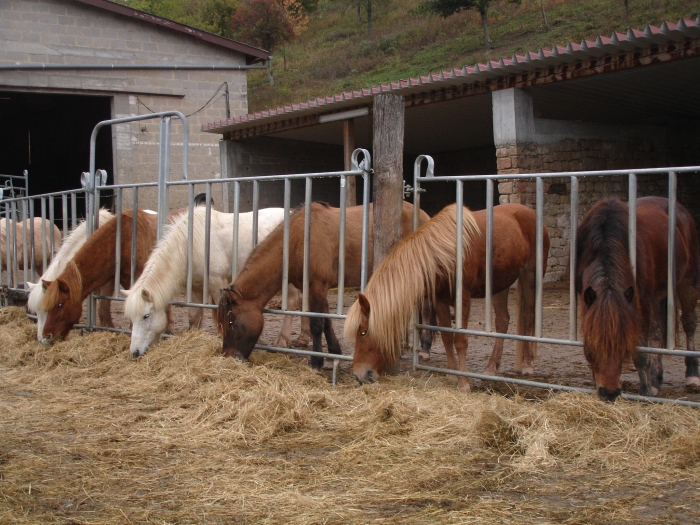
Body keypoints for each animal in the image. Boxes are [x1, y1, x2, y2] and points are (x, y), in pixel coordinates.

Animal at [125, 205, 308, 356]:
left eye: (146, 316)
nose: (135, 352)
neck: (190, 245)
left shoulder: (217, 282)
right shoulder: (196, 287)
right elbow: (194, 315)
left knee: (293, 302)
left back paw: (282, 340)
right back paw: (304, 338)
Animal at [216, 201, 430, 368]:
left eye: (231, 320)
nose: (227, 355)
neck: (298, 241)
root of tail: (423, 214)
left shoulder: (317, 286)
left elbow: (317, 324)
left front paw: (316, 361)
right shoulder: (314, 290)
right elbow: (326, 321)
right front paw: (333, 351)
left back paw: (424, 349)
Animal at [348, 203, 548, 390]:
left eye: (363, 332)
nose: (359, 375)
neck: (444, 253)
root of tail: (531, 214)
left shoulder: (463, 299)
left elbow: (460, 340)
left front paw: (464, 382)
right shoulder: (440, 300)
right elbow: (446, 336)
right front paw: (452, 374)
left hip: (530, 276)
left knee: (529, 317)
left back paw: (527, 364)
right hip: (499, 284)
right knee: (503, 321)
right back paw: (491, 367)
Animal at [576, 194, 700, 400]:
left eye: (624, 346)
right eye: (592, 346)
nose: (610, 393)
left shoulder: (639, 303)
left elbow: (641, 352)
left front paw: (645, 391)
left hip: (687, 280)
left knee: (689, 323)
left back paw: (692, 375)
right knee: (658, 332)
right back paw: (656, 379)